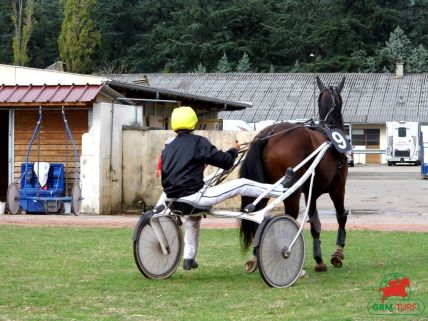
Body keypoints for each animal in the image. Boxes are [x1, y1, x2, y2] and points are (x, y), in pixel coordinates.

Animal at [239, 76, 350, 272]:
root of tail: (270, 133)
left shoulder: (312, 192)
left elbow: (315, 222)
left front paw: (319, 259)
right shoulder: (338, 188)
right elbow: (341, 216)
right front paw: (337, 253)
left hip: (264, 189)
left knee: (259, 214)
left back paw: (254, 258)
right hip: (292, 192)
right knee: (289, 217)